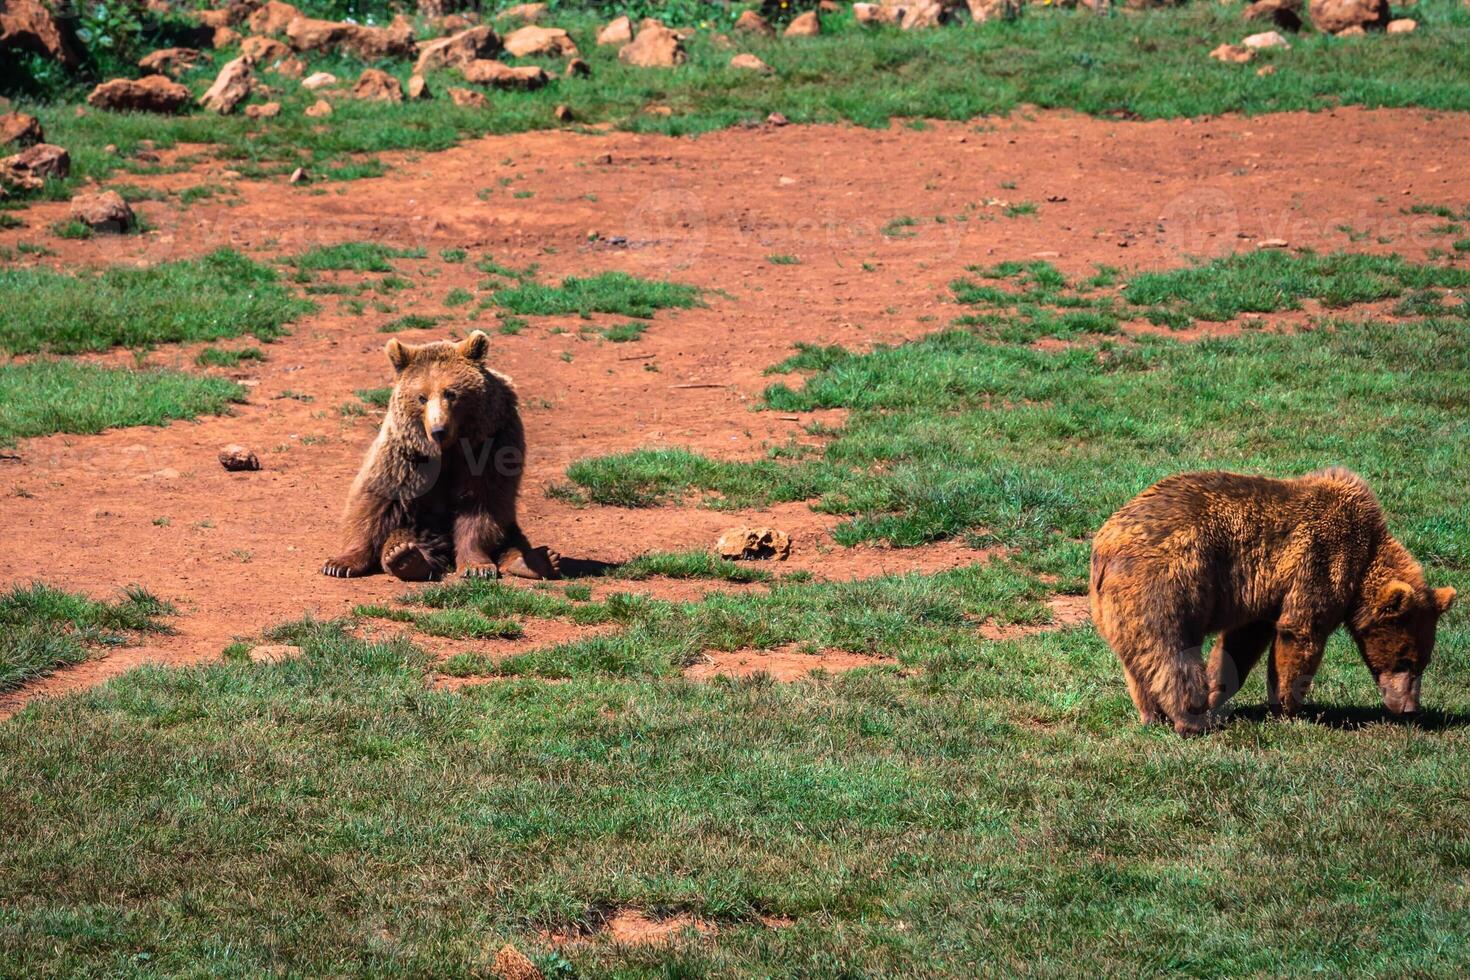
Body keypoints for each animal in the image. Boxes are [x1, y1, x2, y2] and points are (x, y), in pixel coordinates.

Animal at [321, 333, 555, 581]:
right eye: (421, 397)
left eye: (450, 393)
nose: (438, 430)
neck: (450, 448)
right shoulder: (404, 454)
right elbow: (375, 500)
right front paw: (339, 563)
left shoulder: (491, 444)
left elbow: (482, 502)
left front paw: (477, 567)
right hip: (419, 526)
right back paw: (405, 556)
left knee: (512, 539)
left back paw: (538, 560)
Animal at [1087, 470, 1452, 734]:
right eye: (1405, 660)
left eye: (1422, 662)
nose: (1410, 709)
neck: (1364, 560)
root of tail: (1105, 544)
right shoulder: (1320, 560)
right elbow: (1300, 634)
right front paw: (1291, 709)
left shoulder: (1262, 595)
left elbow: (1241, 643)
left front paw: (1221, 691)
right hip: (1169, 583)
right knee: (1171, 651)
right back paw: (1191, 719)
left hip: (1119, 608)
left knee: (1138, 660)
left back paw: (1154, 714)